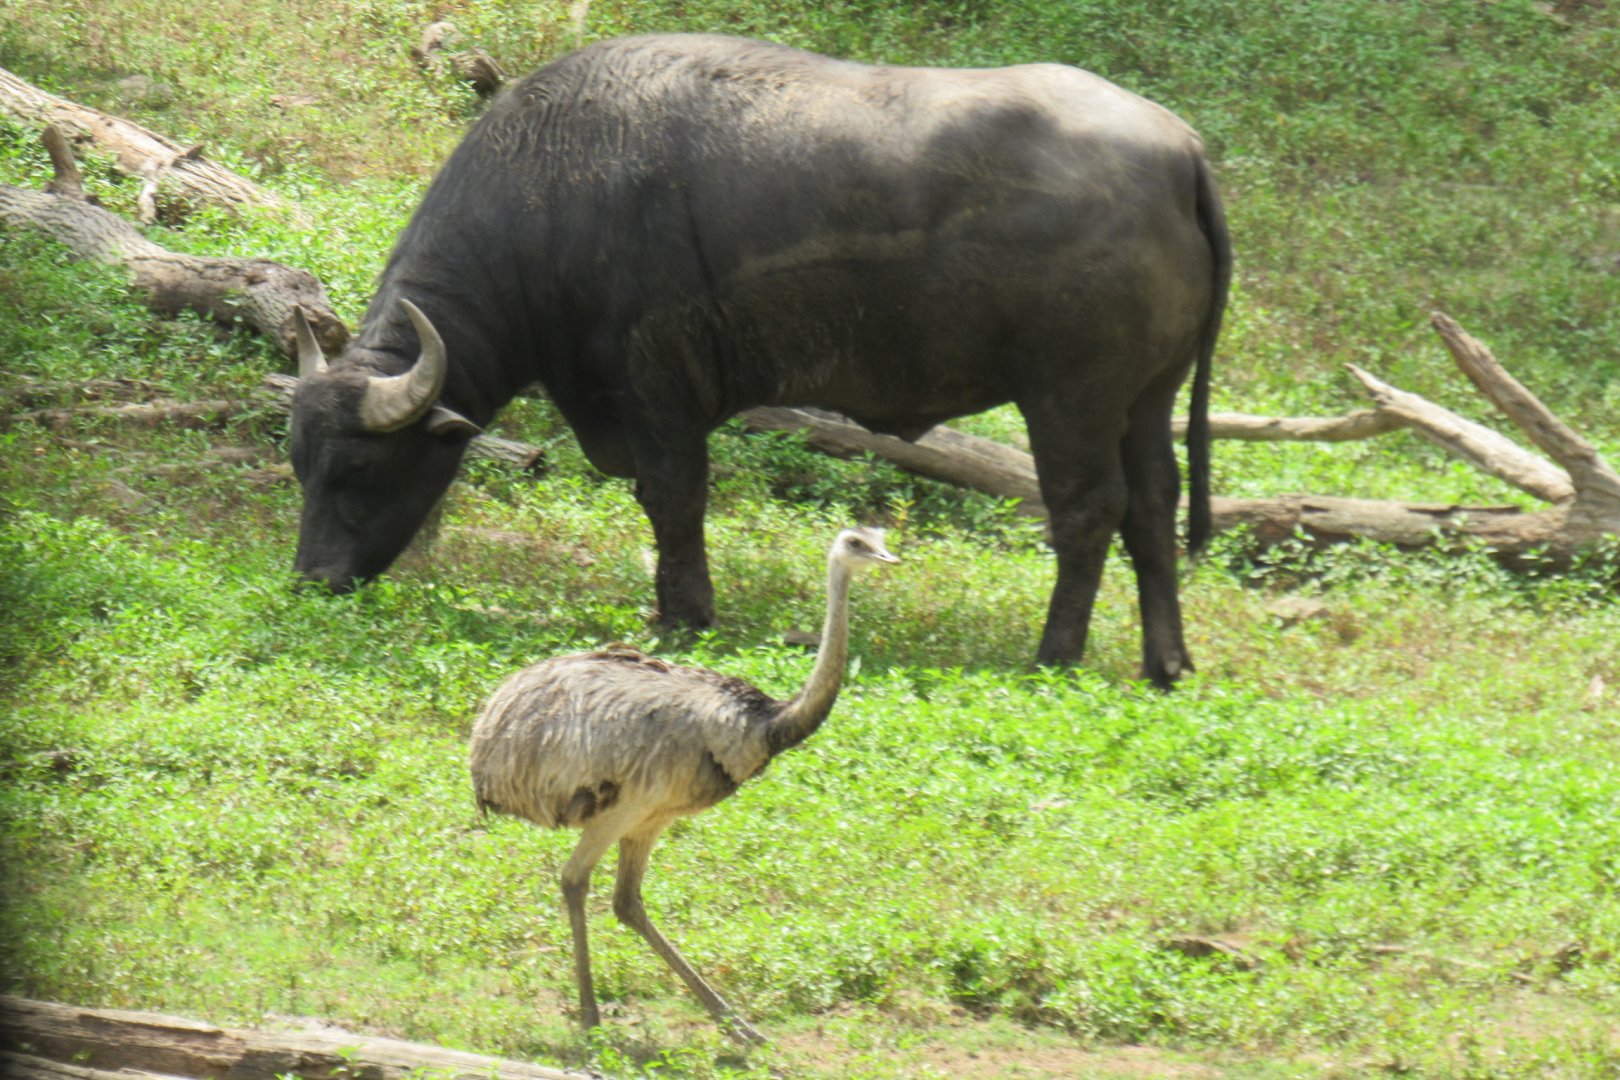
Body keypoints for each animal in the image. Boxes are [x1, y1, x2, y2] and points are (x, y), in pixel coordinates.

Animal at [289, 33, 1230, 687]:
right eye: (301, 466)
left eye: (359, 470)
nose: (312, 581)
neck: (552, 202)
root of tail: (1180, 150)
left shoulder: (655, 387)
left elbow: (673, 498)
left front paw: (684, 615)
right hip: (1149, 396)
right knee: (1155, 504)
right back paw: (1167, 662)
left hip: (1070, 395)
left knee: (1088, 509)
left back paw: (1053, 653)